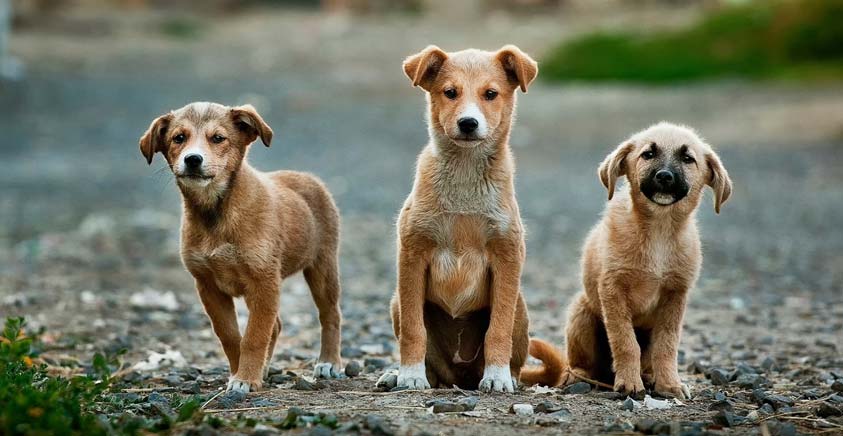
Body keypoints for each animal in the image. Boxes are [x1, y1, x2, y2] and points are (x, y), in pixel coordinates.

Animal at [140, 103, 344, 396]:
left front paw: (246, 378)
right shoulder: (208, 286)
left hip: (322, 267)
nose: (193, 159)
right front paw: (242, 373)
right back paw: (266, 368)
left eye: (218, 138)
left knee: (330, 315)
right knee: (276, 326)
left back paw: (329, 362)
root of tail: (307, 177)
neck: (216, 213)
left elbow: (254, 336)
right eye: (179, 138)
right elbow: (230, 336)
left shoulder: (264, 281)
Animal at [544, 122, 736, 398]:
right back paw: (578, 376)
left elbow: (666, 346)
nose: (664, 176)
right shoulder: (612, 289)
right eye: (648, 154)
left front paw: (669, 384)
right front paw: (629, 383)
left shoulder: (675, 295)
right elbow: (625, 342)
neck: (659, 231)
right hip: (581, 313)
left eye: (688, 159)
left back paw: (649, 376)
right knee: (581, 363)